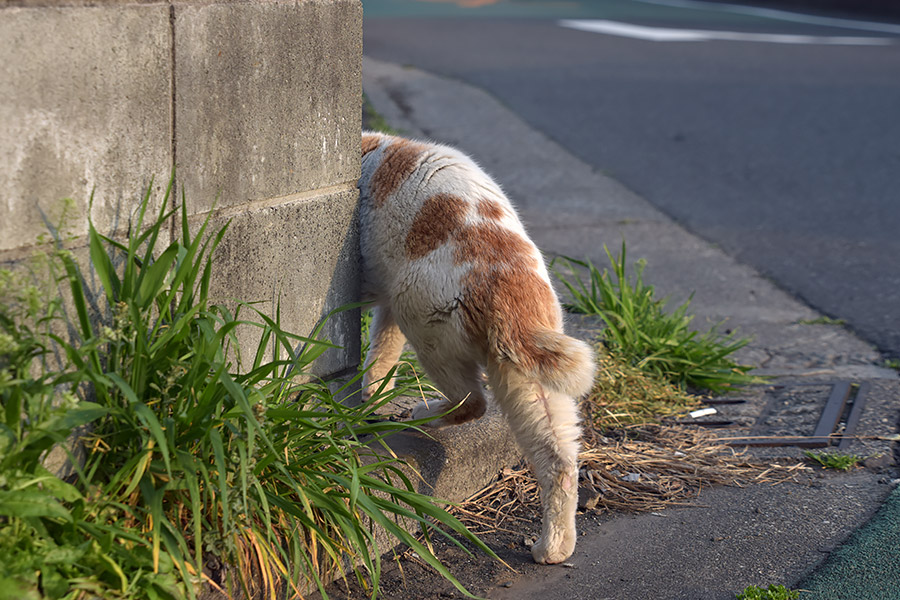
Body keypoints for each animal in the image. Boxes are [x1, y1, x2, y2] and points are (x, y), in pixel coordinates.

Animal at [358, 130, 596, 564]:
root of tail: (507, 279)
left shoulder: (379, 297)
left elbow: (378, 350)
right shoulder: (385, 307)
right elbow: (381, 353)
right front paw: (371, 398)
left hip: (421, 322)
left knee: (473, 401)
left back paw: (423, 415)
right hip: (526, 382)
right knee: (559, 461)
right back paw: (553, 547)